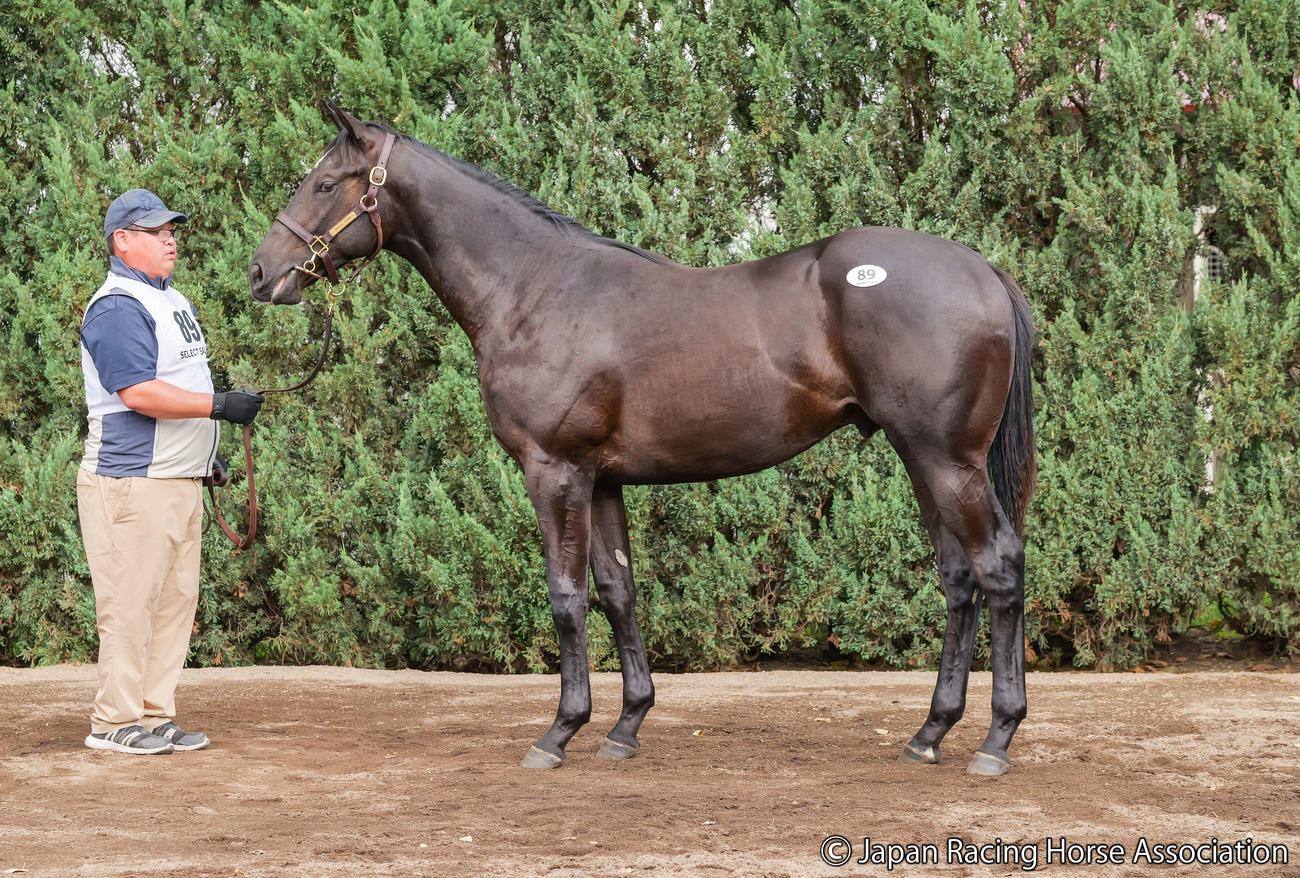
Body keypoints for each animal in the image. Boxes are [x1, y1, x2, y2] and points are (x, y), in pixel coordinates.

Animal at [249, 103, 1036, 777]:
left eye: (324, 182)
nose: (261, 273)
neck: (534, 290)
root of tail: (985, 271)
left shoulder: (554, 471)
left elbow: (566, 594)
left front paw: (559, 731)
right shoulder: (602, 480)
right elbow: (619, 590)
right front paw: (626, 727)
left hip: (947, 461)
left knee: (997, 566)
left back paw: (996, 739)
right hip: (922, 459)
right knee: (958, 577)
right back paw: (930, 732)